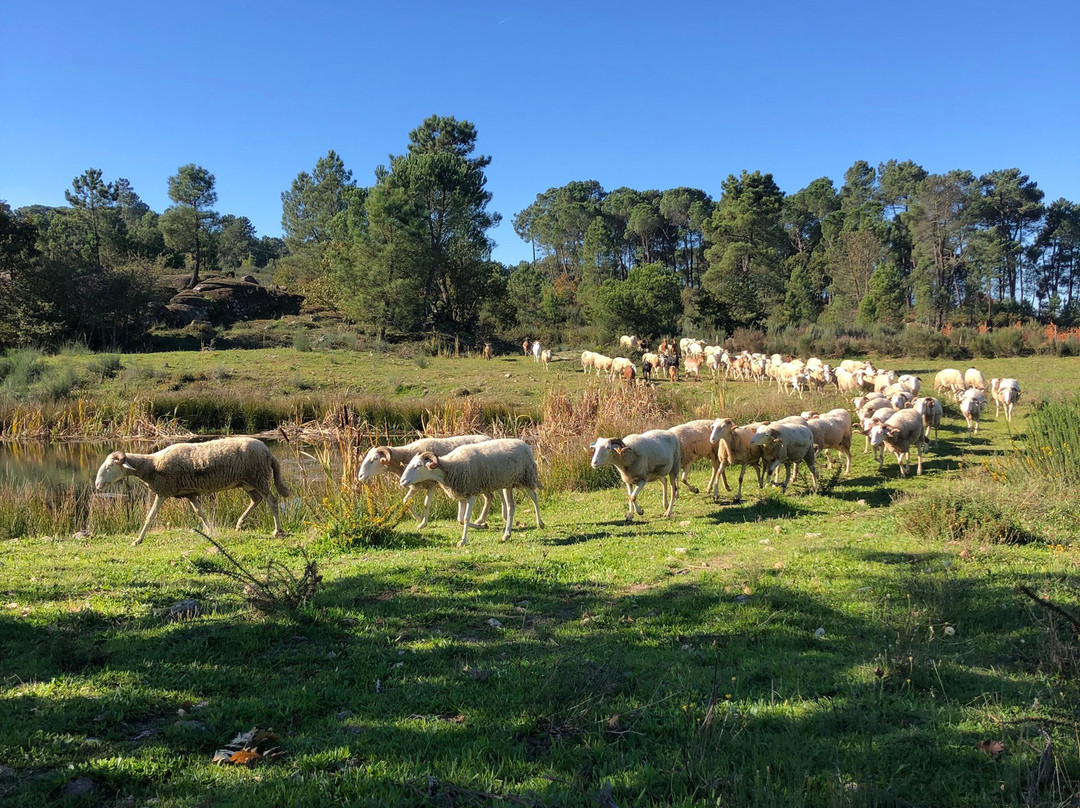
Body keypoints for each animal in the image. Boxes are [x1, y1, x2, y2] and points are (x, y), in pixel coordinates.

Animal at [399, 438, 544, 546]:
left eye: (418, 465)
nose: (402, 481)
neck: (451, 467)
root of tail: (524, 443)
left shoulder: (472, 493)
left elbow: (466, 518)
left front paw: (463, 541)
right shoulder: (462, 495)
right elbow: (460, 519)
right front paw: (483, 525)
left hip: (526, 477)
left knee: (534, 498)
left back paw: (540, 523)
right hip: (508, 484)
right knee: (511, 506)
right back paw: (506, 534)